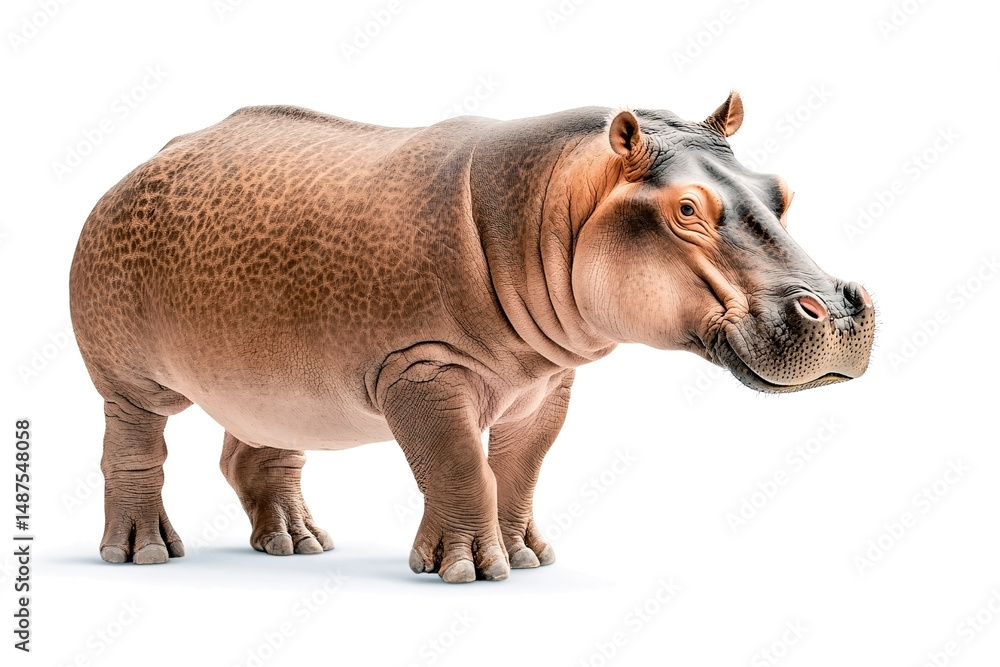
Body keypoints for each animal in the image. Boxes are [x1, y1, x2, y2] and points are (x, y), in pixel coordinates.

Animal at [69, 92, 875, 583]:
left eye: (781, 191)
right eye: (685, 208)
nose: (839, 311)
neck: (555, 201)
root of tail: (139, 163)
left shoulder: (546, 383)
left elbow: (517, 470)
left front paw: (523, 557)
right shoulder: (422, 370)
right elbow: (460, 466)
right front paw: (467, 571)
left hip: (274, 383)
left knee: (260, 454)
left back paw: (299, 542)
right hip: (127, 377)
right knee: (132, 450)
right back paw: (142, 553)